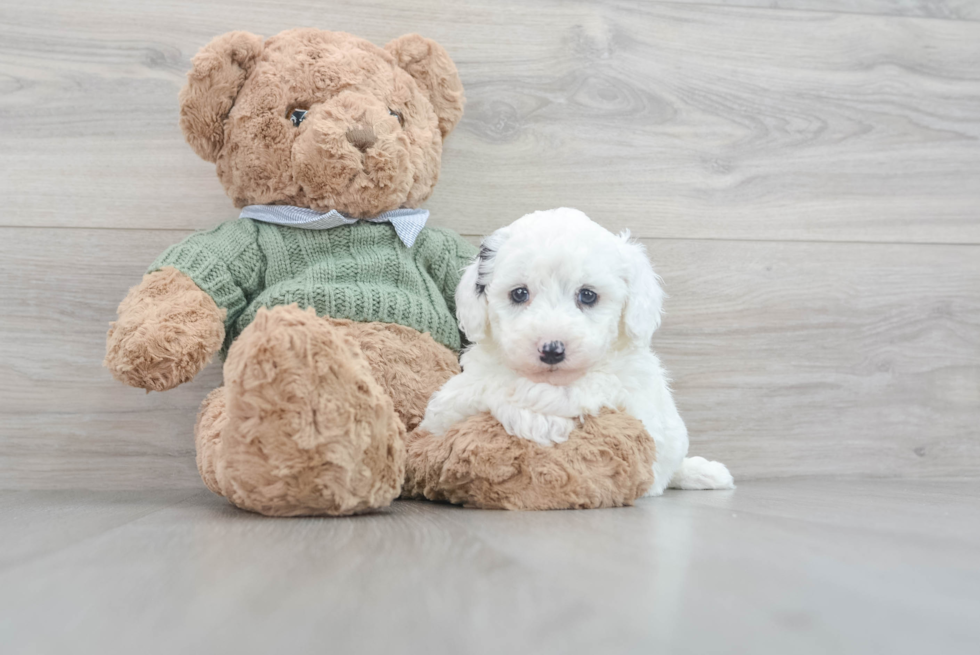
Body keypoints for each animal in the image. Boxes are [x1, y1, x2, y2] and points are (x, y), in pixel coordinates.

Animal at [422, 208, 736, 494]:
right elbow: (471, 392)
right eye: (519, 293)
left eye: (587, 295)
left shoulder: (628, 387)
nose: (552, 350)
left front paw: (541, 417)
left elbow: (577, 389)